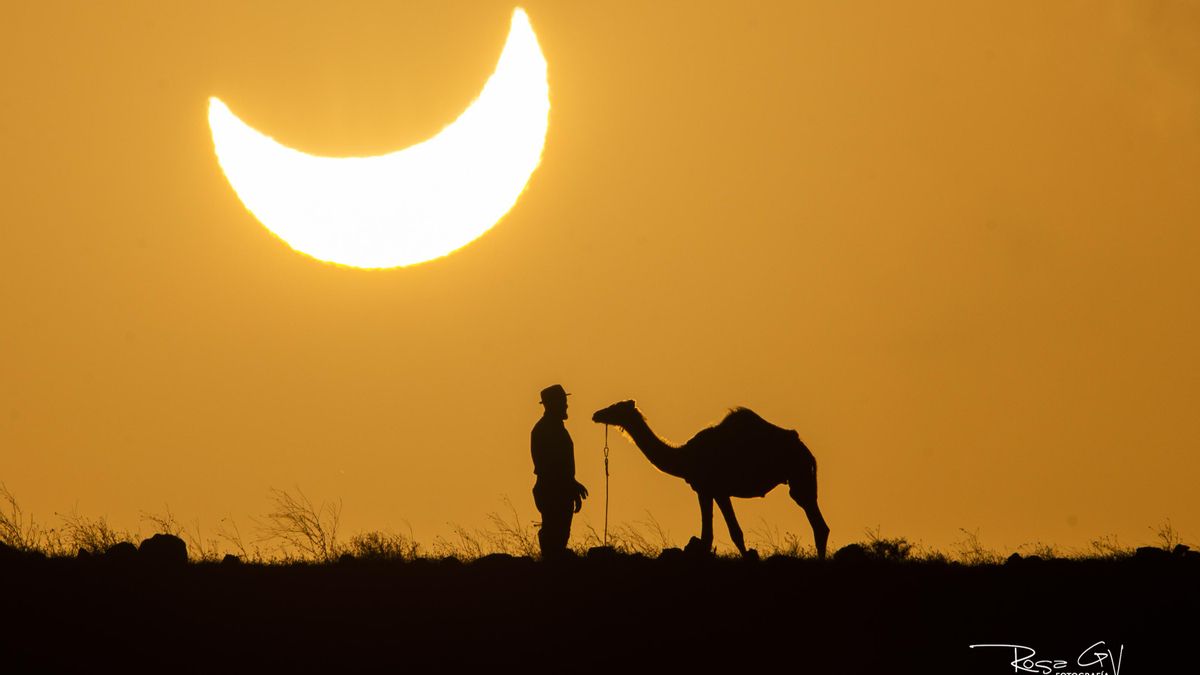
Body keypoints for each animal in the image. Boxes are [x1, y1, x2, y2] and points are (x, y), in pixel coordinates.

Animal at [592, 400, 829, 560]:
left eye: (616, 407)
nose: (597, 414)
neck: (685, 456)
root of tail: (807, 452)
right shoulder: (710, 490)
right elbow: (719, 535)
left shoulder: (712, 489)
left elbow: (722, 535)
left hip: (798, 474)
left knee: (817, 521)